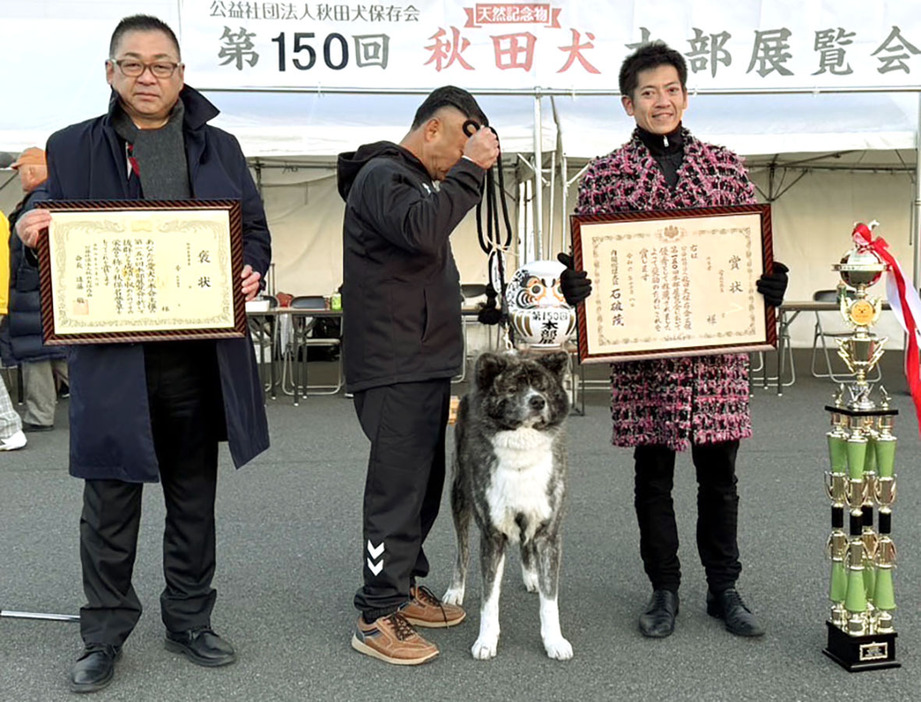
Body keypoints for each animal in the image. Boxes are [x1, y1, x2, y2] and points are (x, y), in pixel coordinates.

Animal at [442, 354, 572, 664]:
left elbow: (550, 600)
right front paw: (486, 642)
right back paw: (456, 589)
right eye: (513, 389)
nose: (537, 401)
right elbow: (489, 599)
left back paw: (531, 576)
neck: (521, 455)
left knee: (526, 545)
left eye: (543, 387)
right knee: (462, 549)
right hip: (458, 496)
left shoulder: (549, 535)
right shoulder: (492, 536)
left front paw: (554, 641)